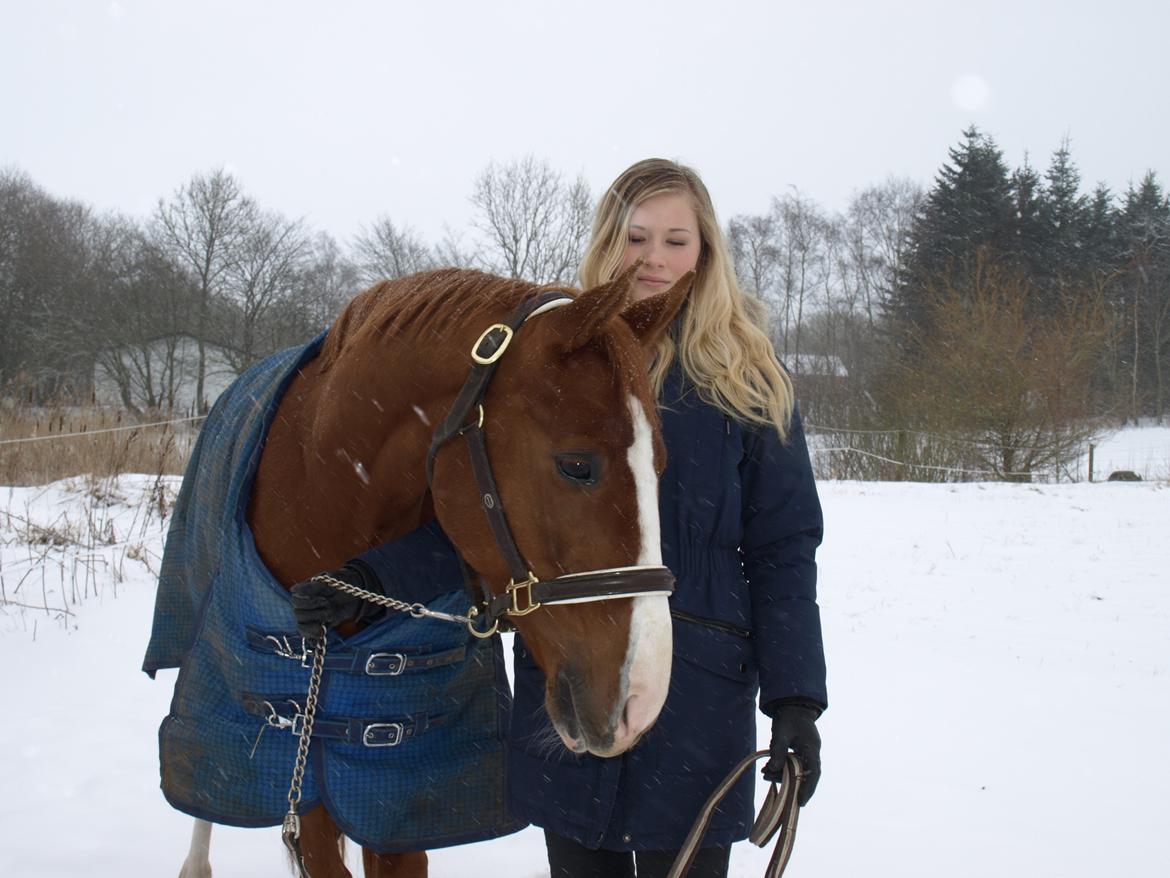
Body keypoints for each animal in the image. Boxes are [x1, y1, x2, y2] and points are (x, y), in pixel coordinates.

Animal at [149, 264, 692, 877]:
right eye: (577, 465)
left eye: (659, 467)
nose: (640, 700)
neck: (322, 481)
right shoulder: (307, 779)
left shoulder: (395, 796)